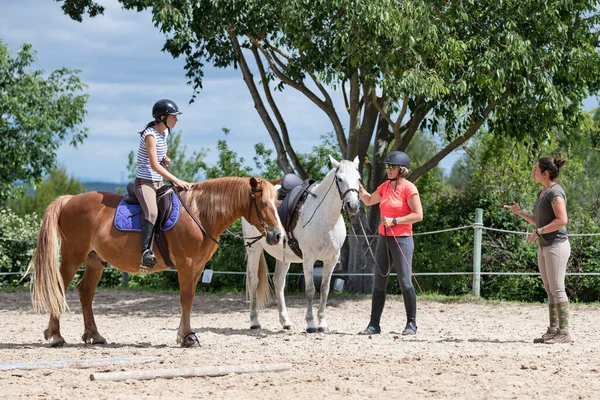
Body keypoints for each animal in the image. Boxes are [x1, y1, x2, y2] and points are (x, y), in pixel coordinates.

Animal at [27, 176, 282, 346]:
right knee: (59, 288)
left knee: (86, 292)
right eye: (263, 204)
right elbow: (186, 299)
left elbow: (189, 299)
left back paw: (94, 335)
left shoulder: (198, 267)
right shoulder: (186, 264)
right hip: (73, 256)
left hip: (94, 261)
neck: (199, 213)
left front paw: (184, 334)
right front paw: (187, 337)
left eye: (277, 203)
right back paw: (56, 335)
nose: (278, 236)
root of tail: (68, 200)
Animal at [240, 155, 360, 332]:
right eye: (339, 179)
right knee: (254, 281)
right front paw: (310, 324)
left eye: (358, 179)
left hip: (283, 256)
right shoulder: (309, 259)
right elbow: (310, 290)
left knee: (278, 282)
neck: (324, 217)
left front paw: (322, 324)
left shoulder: (331, 260)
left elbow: (324, 290)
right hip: (254, 249)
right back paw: (255, 322)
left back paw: (286, 322)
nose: (353, 205)